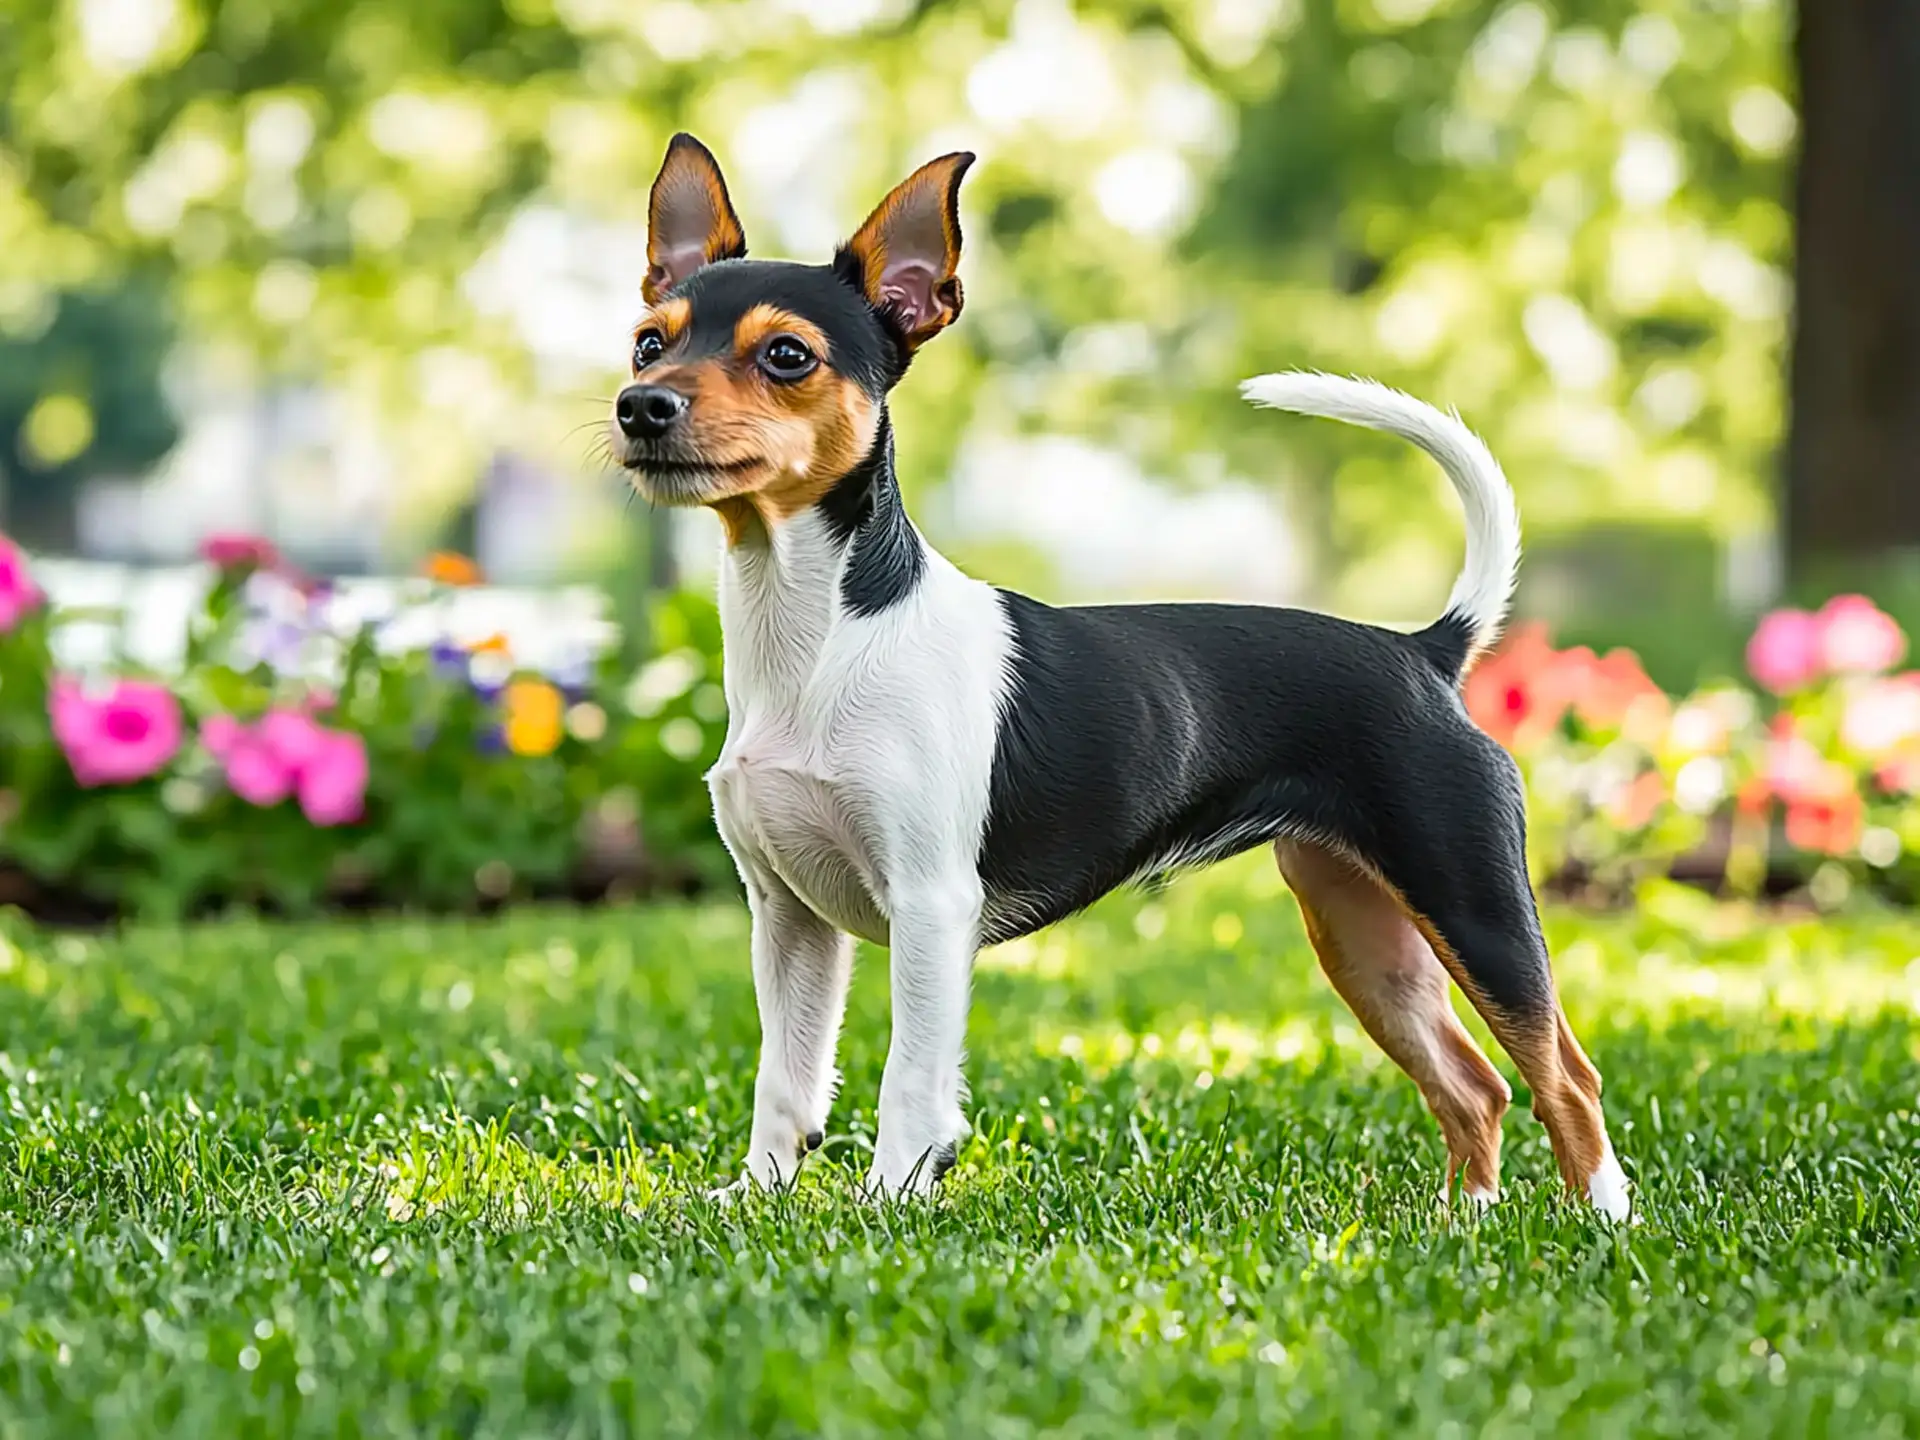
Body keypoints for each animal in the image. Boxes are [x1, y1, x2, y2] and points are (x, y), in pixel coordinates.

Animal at [606, 135, 1628, 1221]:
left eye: (787, 356)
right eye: (648, 343)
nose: (641, 406)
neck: (824, 637)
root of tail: (1427, 650)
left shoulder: (931, 908)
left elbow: (910, 1080)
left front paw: (889, 1202)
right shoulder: (789, 917)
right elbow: (786, 1081)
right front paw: (754, 1197)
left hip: (1474, 906)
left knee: (1565, 1076)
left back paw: (1605, 1224)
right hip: (1366, 934)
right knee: (1474, 1083)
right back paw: (1464, 1222)